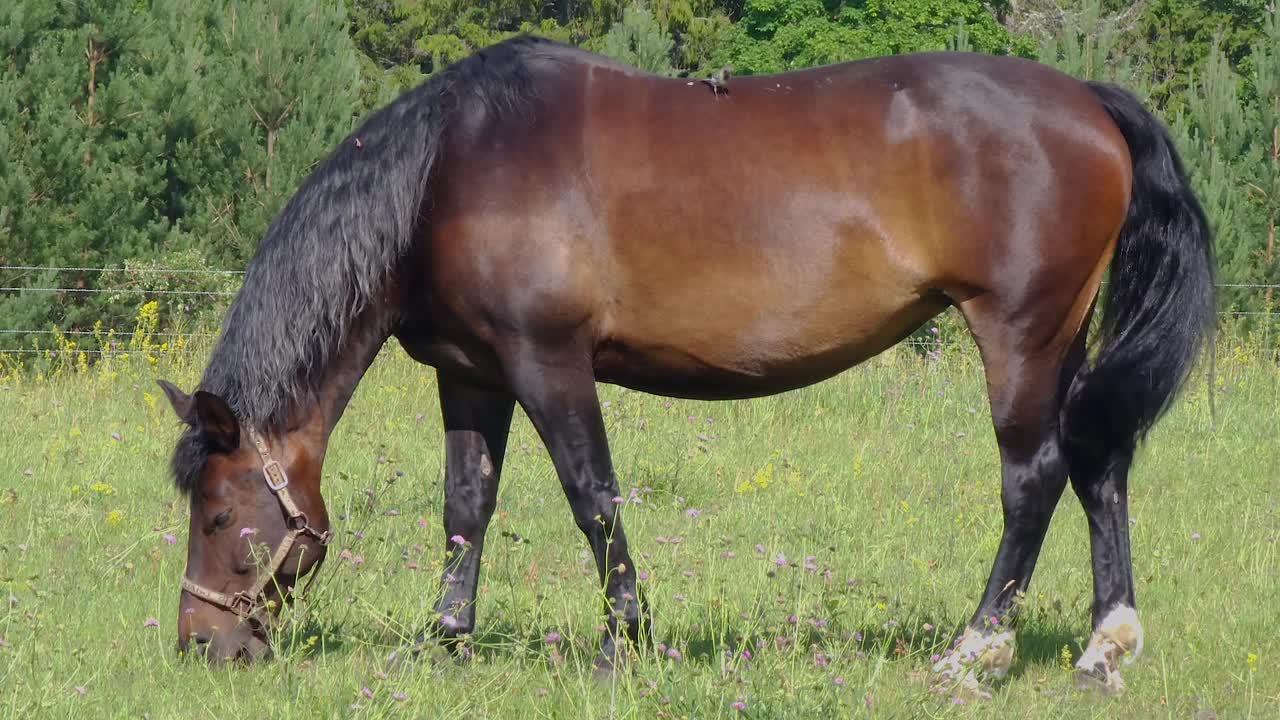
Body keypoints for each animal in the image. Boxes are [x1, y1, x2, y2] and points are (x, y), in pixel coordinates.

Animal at [157, 35, 1208, 691]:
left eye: (218, 516)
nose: (201, 648)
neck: (450, 169)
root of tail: (1088, 100)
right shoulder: (474, 374)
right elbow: (466, 507)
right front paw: (444, 642)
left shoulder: (548, 362)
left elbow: (593, 498)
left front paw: (622, 644)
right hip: (1065, 337)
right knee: (1099, 462)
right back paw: (1103, 647)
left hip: (1020, 333)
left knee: (1033, 477)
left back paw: (974, 651)